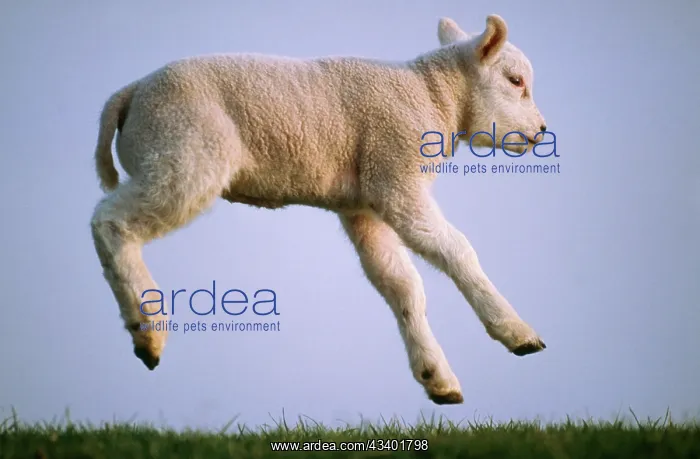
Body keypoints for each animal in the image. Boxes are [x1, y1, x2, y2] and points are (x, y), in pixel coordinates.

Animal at [91, 14, 547, 405]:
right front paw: (517, 333)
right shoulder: (396, 171)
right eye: (515, 81)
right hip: (185, 151)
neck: (433, 96)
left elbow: (402, 285)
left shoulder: (364, 204)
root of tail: (130, 93)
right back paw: (147, 331)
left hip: (168, 152)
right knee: (109, 222)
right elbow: (457, 249)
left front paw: (437, 377)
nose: (542, 132)